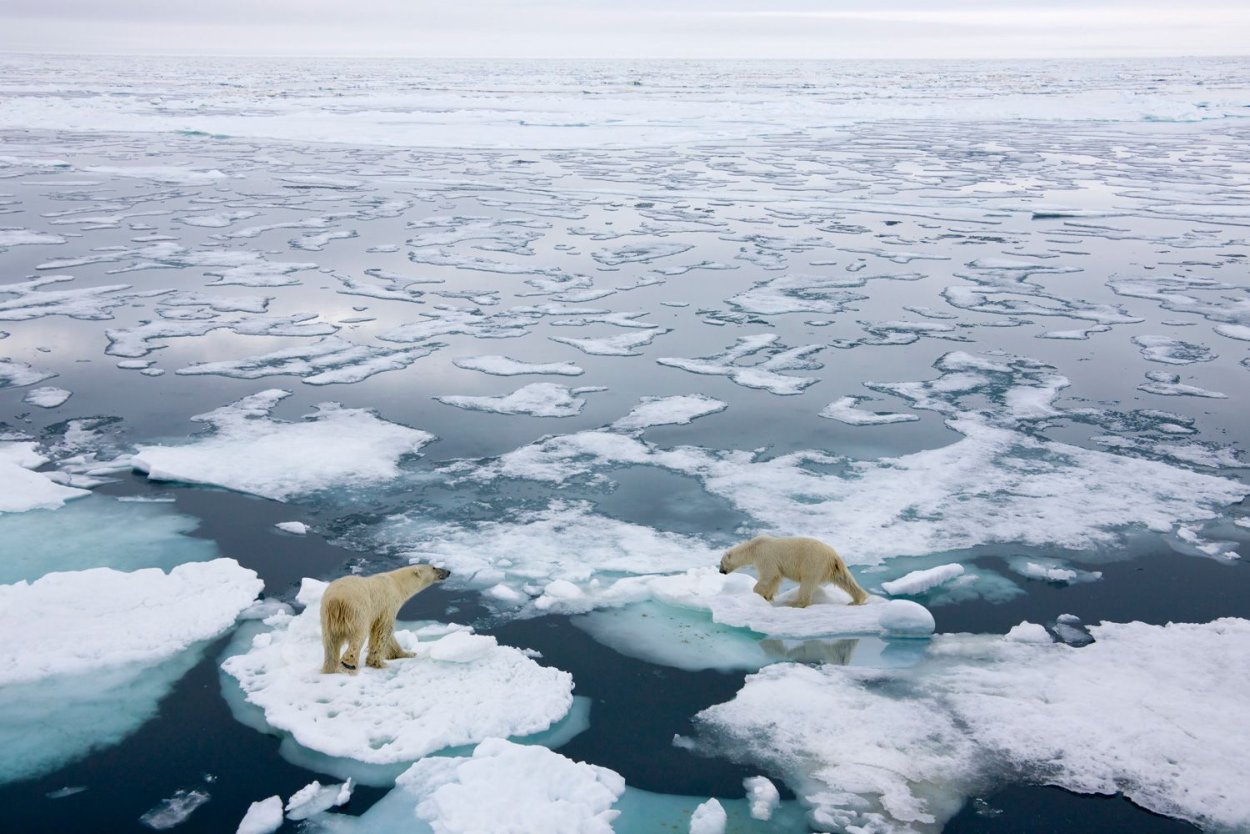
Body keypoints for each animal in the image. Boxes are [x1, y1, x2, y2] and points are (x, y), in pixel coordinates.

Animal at [322, 565, 450, 675]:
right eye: (434, 567)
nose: (448, 572)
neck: (397, 584)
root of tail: (336, 600)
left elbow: (388, 636)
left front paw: (408, 653)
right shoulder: (388, 605)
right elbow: (383, 631)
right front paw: (378, 663)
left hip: (327, 618)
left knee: (330, 643)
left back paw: (329, 668)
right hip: (357, 612)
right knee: (358, 636)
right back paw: (348, 665)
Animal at [720, 537, 865, 610]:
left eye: (721, 562)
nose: (720, 571)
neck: (754, 547)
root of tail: (833, 556)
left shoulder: (765, 557)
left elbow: (769, 575)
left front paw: (758, 593)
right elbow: (775, 578)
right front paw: (768, 596)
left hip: (813, 563)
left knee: (807, 583)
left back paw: (794, 603)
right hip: (834, 567)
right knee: (845, 580)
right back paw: (857, 600)